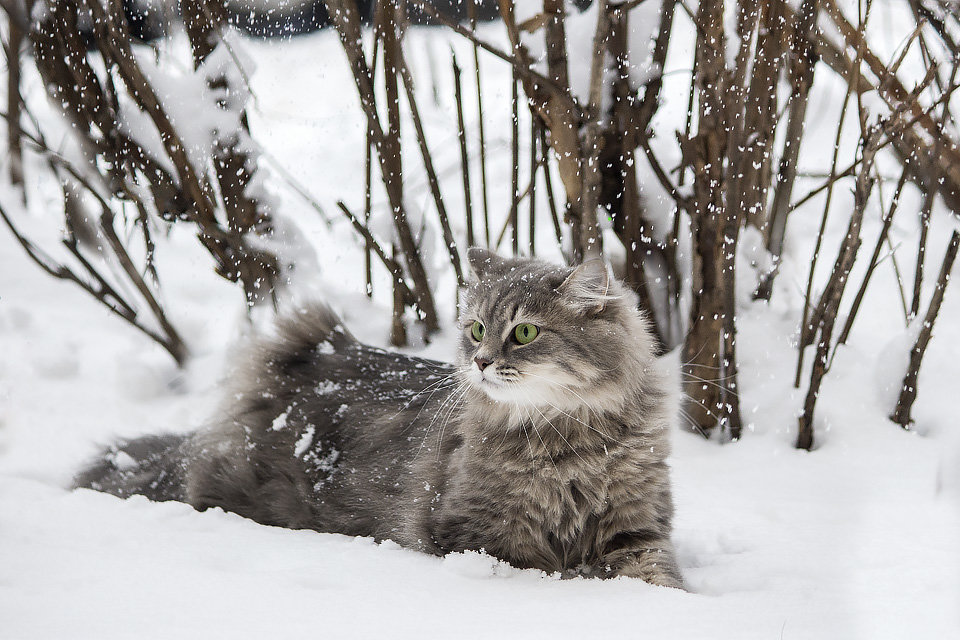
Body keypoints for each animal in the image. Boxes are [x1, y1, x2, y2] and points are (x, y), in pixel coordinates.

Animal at [80, 248, 684, 588]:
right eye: (476, 330)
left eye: (526, 332)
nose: (481, 362)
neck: (568, 442)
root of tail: (315, 353)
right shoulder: (482, 536)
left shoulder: (637, 530)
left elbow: (661, 580)